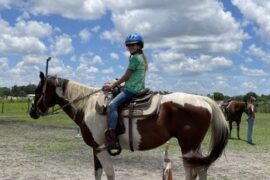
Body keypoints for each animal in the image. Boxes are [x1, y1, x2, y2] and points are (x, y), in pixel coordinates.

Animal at [29, 72, 228, 180]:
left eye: (38, 90)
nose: (32, 112)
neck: (88, 106)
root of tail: (203, 100)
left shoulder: (101, 148)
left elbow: (110, 173)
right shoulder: (95, 149)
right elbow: (98, 173)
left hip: (187, 147)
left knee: (192, 172)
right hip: (195, 147)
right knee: (201, 169)